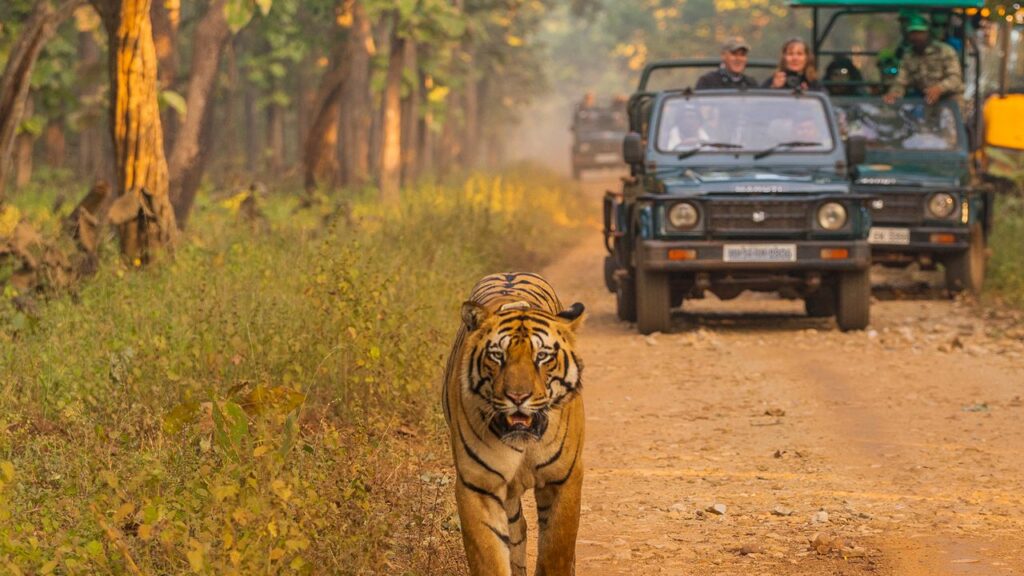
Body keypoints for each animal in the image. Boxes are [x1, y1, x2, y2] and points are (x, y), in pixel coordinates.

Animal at [444, 272, 589, 573]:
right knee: (518, 530)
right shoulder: (479, 485)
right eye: (497, 356)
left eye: (542, 356)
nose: (517, 397)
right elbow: (489, 557)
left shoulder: (564, 478)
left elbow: (556, 550)